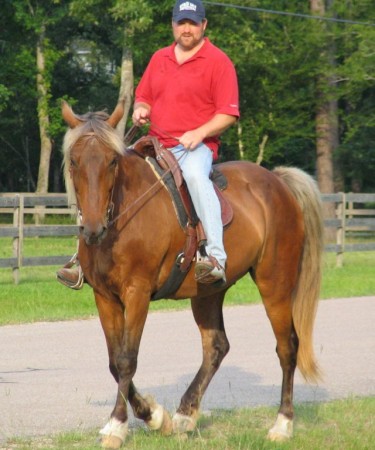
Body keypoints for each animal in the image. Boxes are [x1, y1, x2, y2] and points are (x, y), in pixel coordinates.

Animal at [61, 100, 324, 448]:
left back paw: (282, 424)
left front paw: (120, 425)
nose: (92, 229)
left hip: (275, 284)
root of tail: (278, 182)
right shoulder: (104, 297)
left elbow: (127, 359)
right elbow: (114, 361)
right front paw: (152, 416)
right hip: (208, 292)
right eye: (74, 161)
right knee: (216, 346)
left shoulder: (137, 293)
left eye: (112, 161)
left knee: (287, 347)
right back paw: (185, 415)